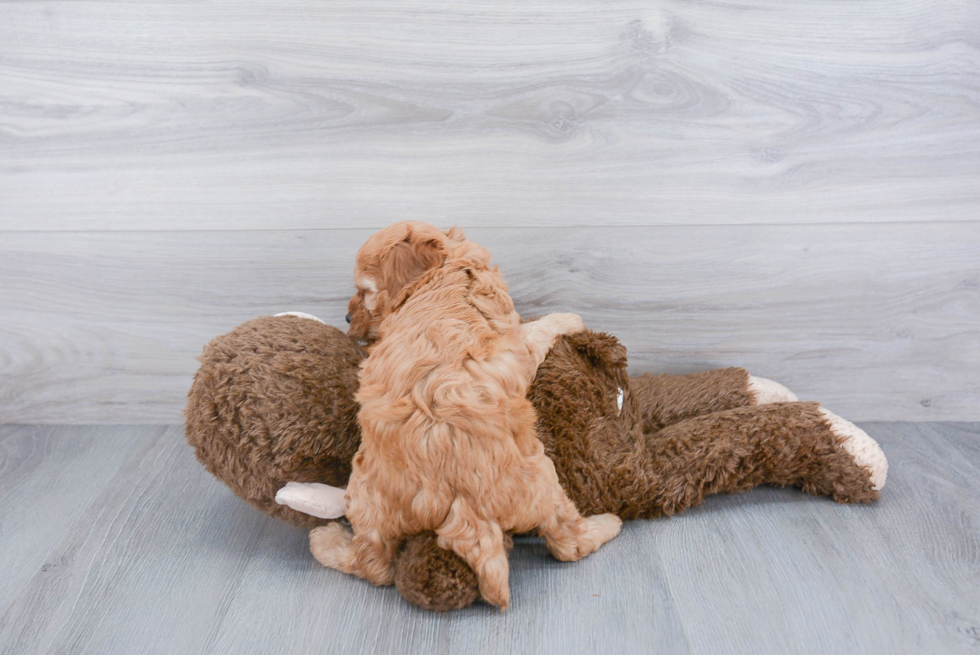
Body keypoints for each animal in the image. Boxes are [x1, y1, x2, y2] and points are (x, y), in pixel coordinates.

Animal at [310, 222, 624, 608]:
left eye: (365, 291)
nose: (346, 318)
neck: (439, 274)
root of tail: (466, 508)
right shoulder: (515, 341)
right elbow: (537, 329)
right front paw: (570, 317)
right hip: (544, 479)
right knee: (568, 543)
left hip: (370, 496)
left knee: (375, 562)